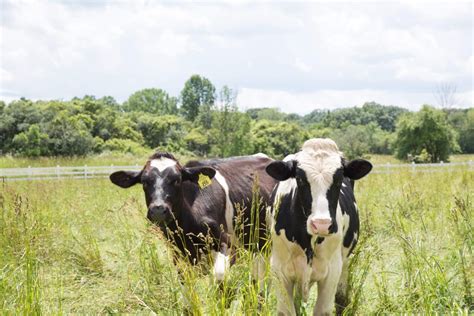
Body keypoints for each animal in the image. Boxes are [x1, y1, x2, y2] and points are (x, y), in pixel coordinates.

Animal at [109, 152, 276, 280]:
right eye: (144, 181)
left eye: (177, 180)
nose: (158, 209)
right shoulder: (178, 252)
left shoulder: (228, 244)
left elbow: (219, 275)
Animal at [264, 139, 372, 314]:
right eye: (300, 179)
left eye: (339, 179)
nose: (322, 224)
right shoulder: (279, 269)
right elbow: (288, 310)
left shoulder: (332, 270)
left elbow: (323, 309)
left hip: (344, 264)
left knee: (341, 298)